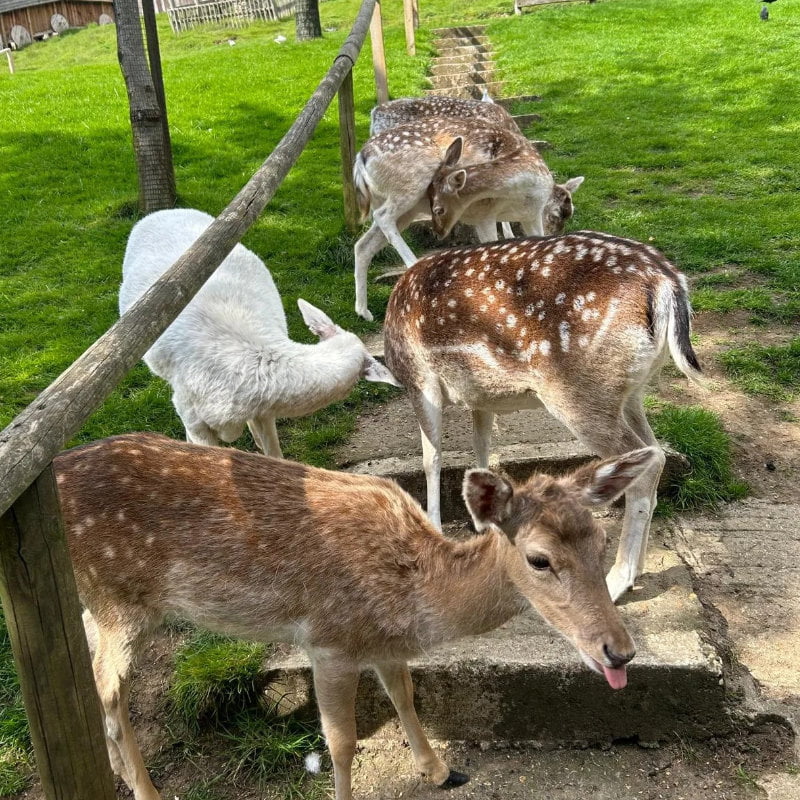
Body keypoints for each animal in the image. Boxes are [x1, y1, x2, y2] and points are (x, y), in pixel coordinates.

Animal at [54, 432, 649, 800]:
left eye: (602, 541)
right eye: (539, 559)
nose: (620, 651)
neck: (411, 595)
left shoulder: (381, 646)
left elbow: (405, 695)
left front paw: (439, 771)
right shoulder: (329, 642)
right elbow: (341, 744)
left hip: (100, 603)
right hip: (116, 599)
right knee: (109, 687)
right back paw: (146, 789)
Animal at [353, 117, 583, 320]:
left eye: (569, 213)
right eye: (556, 214)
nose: (438, 233)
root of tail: (360, 160)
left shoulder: (529, 216)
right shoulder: (486, 214)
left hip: (403, 209)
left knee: (363, 244)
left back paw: (364, 312)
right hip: (409, 186)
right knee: (382, 216)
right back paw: (412, 262)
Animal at [383, 231, 705, 602]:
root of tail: (667, 282)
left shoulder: (420, 381)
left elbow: (431, 459)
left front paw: (435, 530)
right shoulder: (481, 397)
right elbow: (481, 449)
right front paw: (482, 524)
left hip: (578, 392)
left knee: (643, 464)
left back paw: (617, 580)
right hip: (630, 392)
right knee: (654, 452)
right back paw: (636, 569)